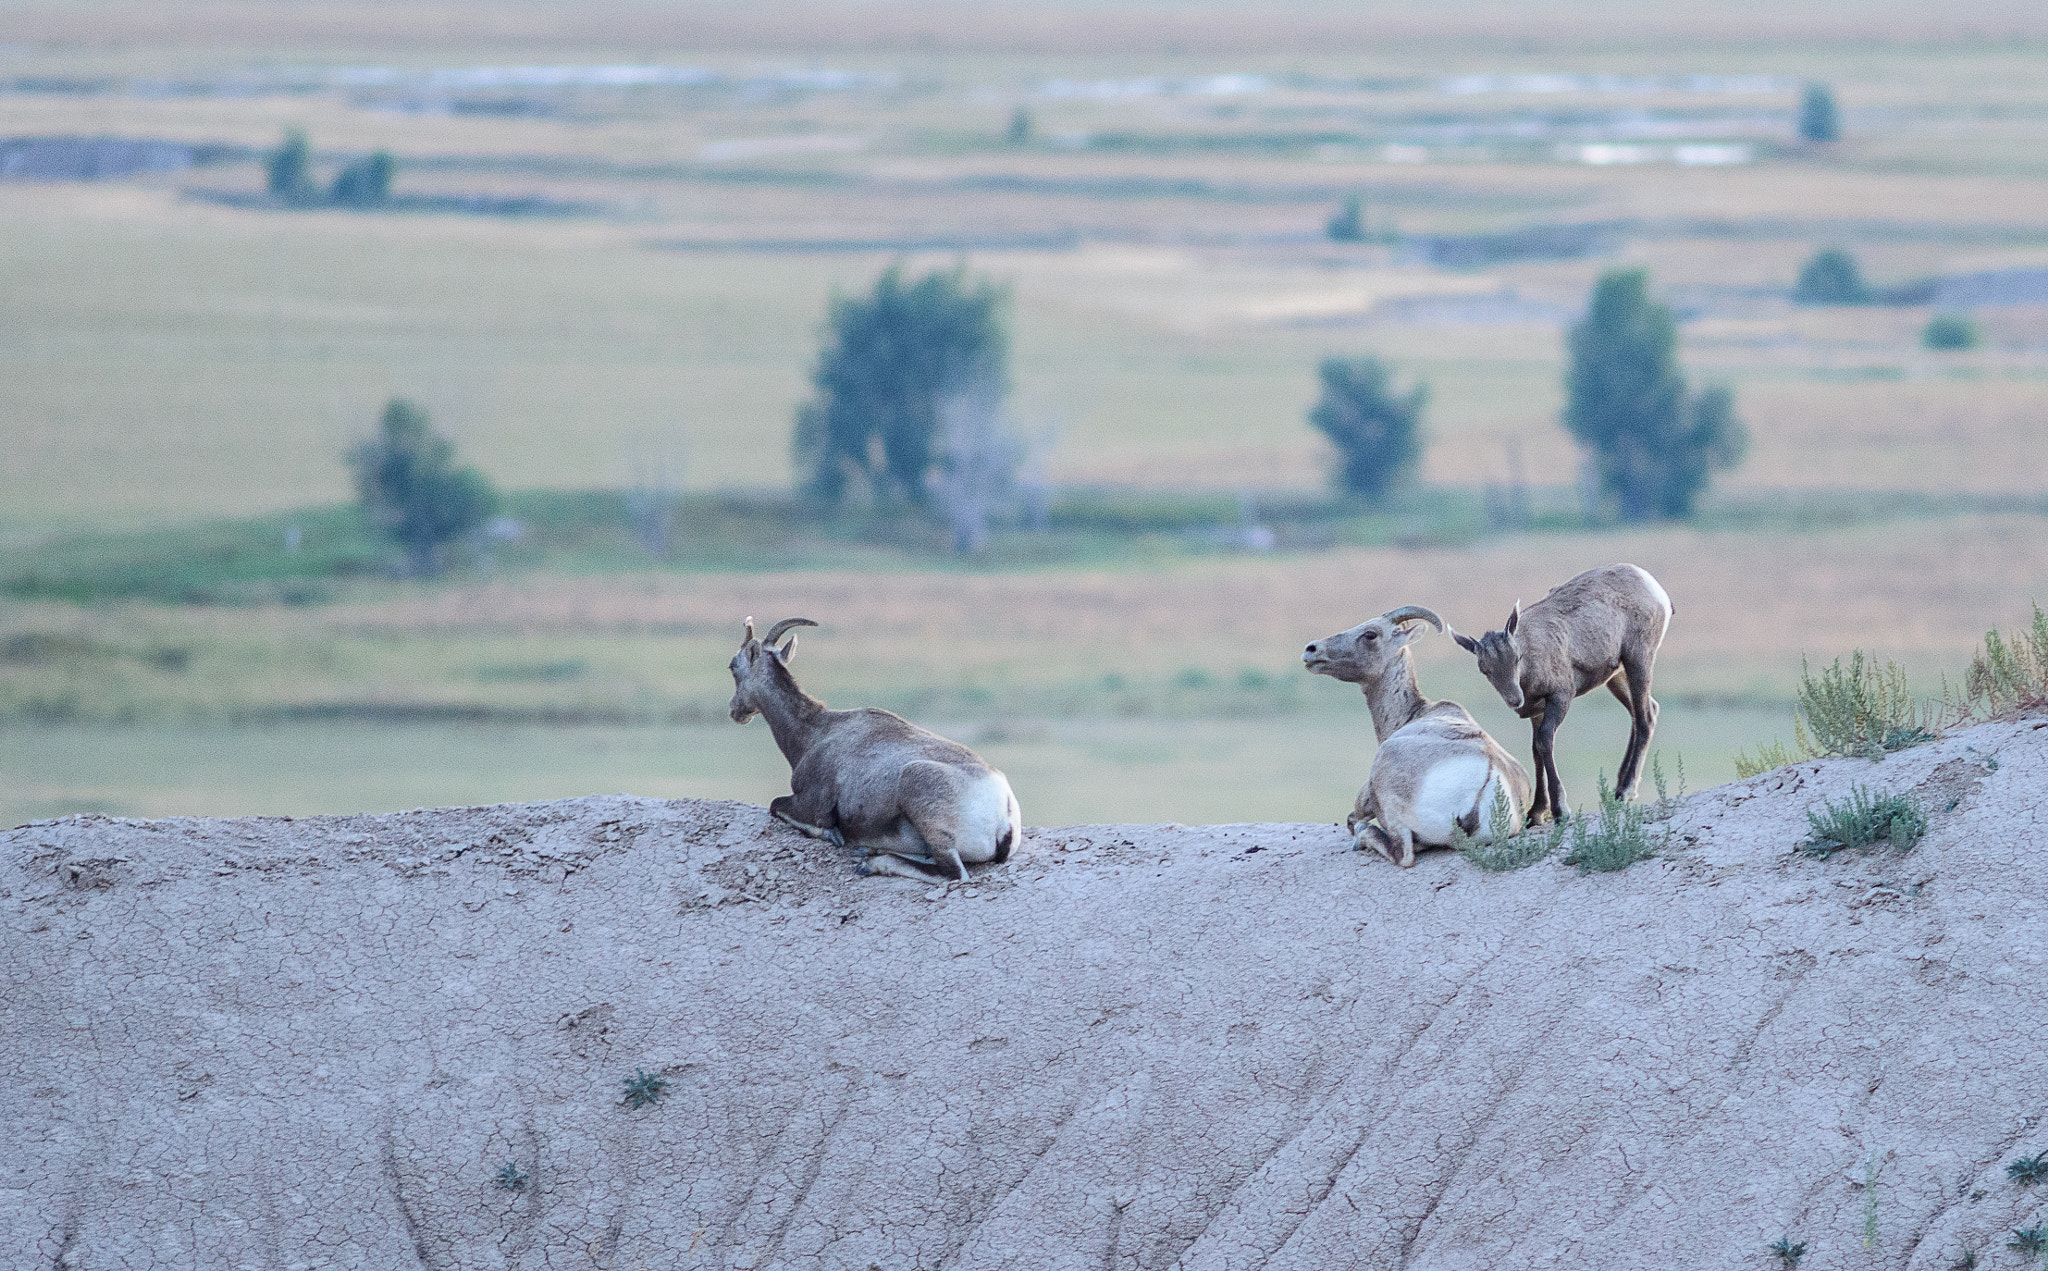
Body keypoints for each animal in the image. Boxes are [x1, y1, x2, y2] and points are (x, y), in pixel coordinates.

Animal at [733, 618, 1032, 884]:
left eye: (733, 667)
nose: (735, 711)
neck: (816, 731)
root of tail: (1005, 813)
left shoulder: (811, 804)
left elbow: (778, 806)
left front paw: (832, 835)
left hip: (924, 802)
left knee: (952, 873)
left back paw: (871, 862)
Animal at [1302, 601, 1531, 863]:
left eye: (1370, 634)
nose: (1311, 650)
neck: (1416, 713)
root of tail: (1488, 779)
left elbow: (1352, 819)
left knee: (1402, 853)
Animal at [1449, 560, 1671, 818]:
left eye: (1517, 658)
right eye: (1485, 669)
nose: (1515, 700)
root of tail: (1653, 587)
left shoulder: (1560, 696)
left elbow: (1545, 741)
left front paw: (1559, 809)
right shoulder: (1536, 709)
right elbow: (1535, 750)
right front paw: (1536, 812)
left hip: (1639, 658)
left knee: (1645, 717)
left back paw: (1626, 790)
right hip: (1616, 675)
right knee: (1644, 711)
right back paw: (1618, 787)